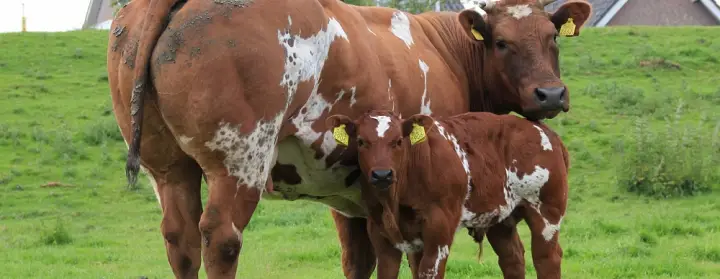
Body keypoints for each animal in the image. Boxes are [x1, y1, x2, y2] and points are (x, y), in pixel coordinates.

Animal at [324, 111, 568, 279]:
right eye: (361, 142)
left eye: (398, 141)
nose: (382, 174)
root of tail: (545, 132)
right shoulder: (382, 237)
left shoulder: (439, 233)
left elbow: (428, 272)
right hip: (501, 219)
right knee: (513, 259)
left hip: (546, 213)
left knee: (547, 259)